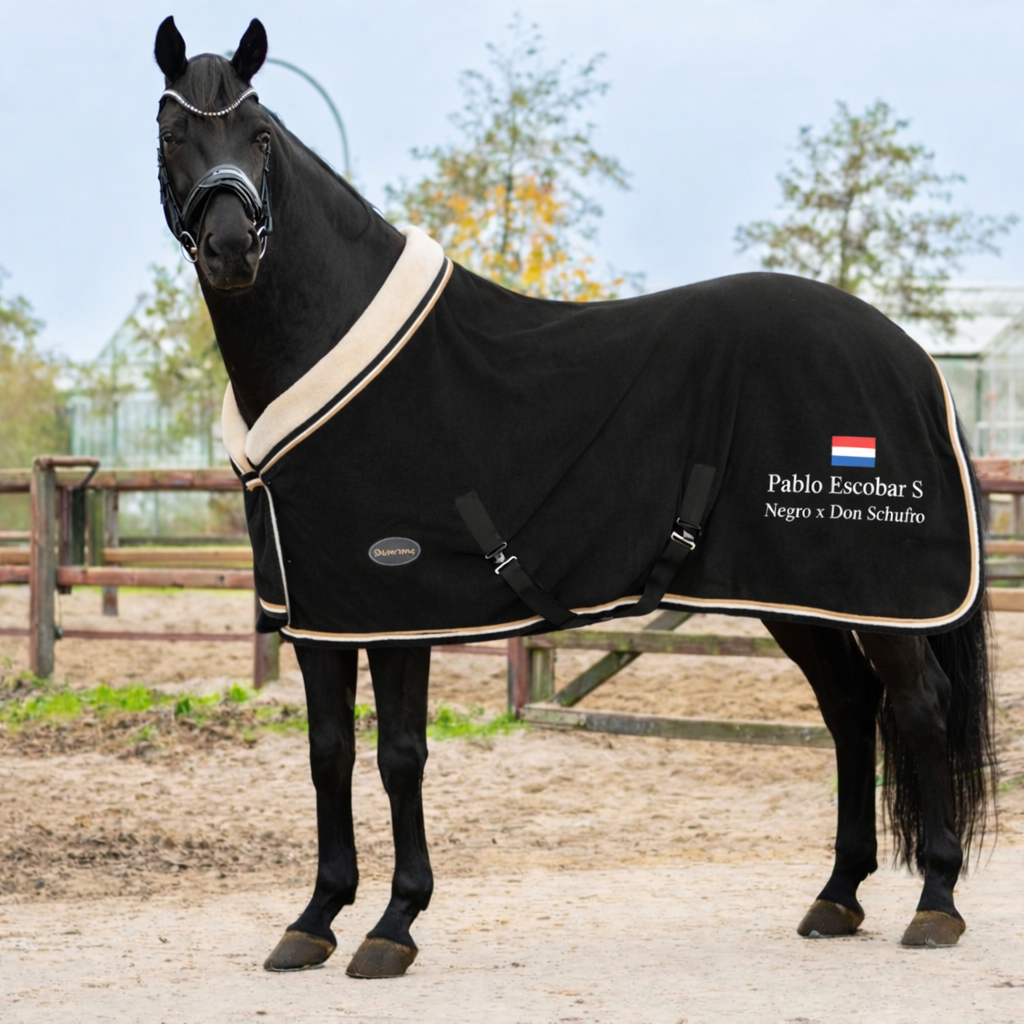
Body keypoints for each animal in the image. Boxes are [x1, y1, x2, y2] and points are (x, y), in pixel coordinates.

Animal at [152, 17, 995, 978]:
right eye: (172, 136)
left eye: (260, 135)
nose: (233, 250)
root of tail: (911, 356)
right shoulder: (320, 614)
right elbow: (328, 753)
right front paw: (316, 918)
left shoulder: (397, 607)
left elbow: (400, 755)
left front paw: (394, 924)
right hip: (799, 595)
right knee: (850, 706)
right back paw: (837, 895)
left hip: (878, 595)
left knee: (918, 708)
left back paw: (935, 902)